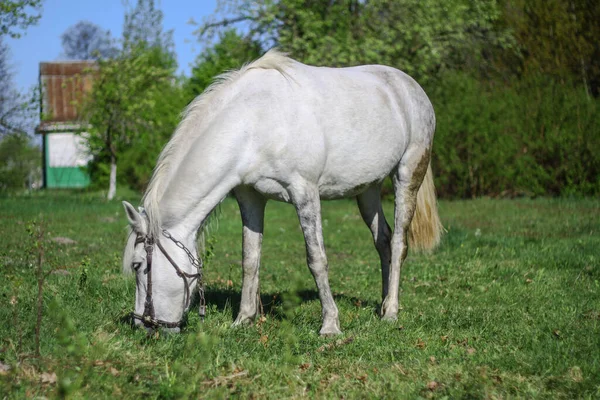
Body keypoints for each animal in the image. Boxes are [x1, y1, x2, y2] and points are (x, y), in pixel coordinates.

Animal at [122, 50, 442, 338]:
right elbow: (250, 258)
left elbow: (317, 259)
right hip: (368, 190)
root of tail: (410, 87)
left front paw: (330, 325)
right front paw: (243, 319)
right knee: (383, 241)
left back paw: (391, 312)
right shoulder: (250, 197)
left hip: (407, 175)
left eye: (138, 265)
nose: (142, 326)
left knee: (399, 243)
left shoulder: (305, 193)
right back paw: (384, 303)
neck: (255, 121)